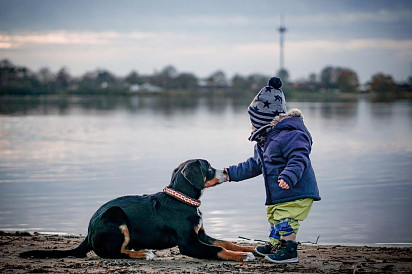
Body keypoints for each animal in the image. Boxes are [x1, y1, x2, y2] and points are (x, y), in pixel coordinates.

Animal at [21, 159, 258, 262]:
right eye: (208, 167)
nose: (225, 171)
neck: (183, 200)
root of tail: (88, 232)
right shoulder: (189, 243)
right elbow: (218, 249)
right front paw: (243, 256)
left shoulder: (201, 234)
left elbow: (226, 242)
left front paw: (250, 248)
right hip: (115, 215)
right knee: (114, 252)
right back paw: (144, 253)